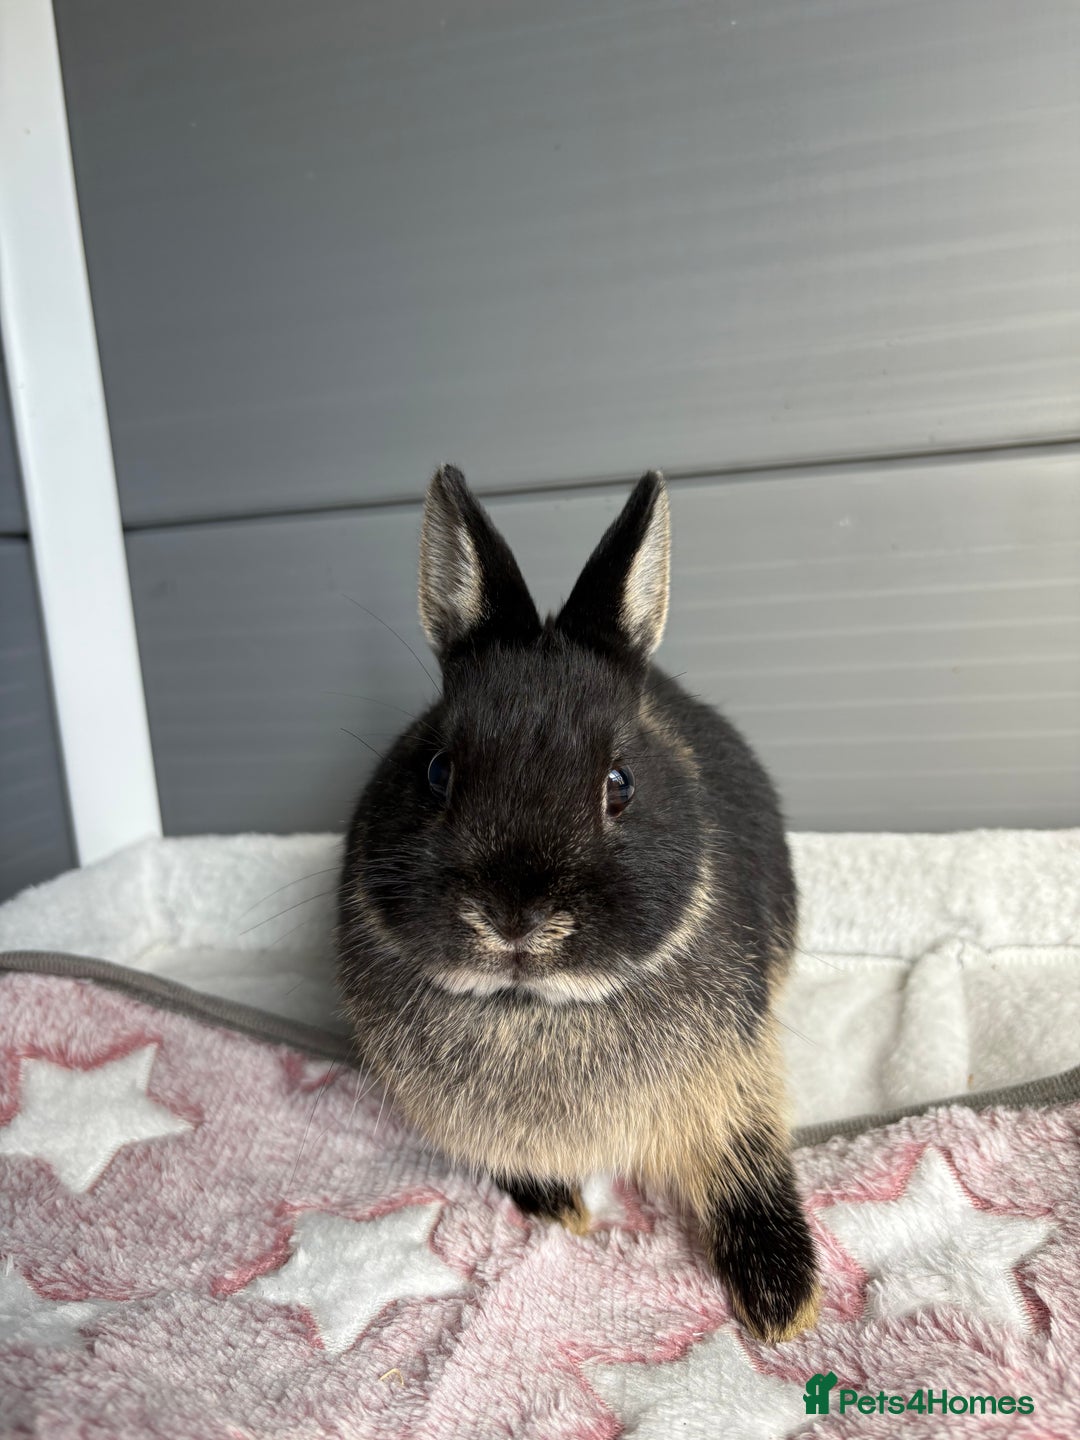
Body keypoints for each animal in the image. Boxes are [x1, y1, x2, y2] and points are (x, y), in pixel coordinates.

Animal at [337, 464, 820, 1343]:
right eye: (437, 770)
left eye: (618, 784)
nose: (513, 917)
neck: (532, 1009)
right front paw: (565, 1210)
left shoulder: (738, 1081)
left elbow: (749, 1161)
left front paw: (783, 1300)